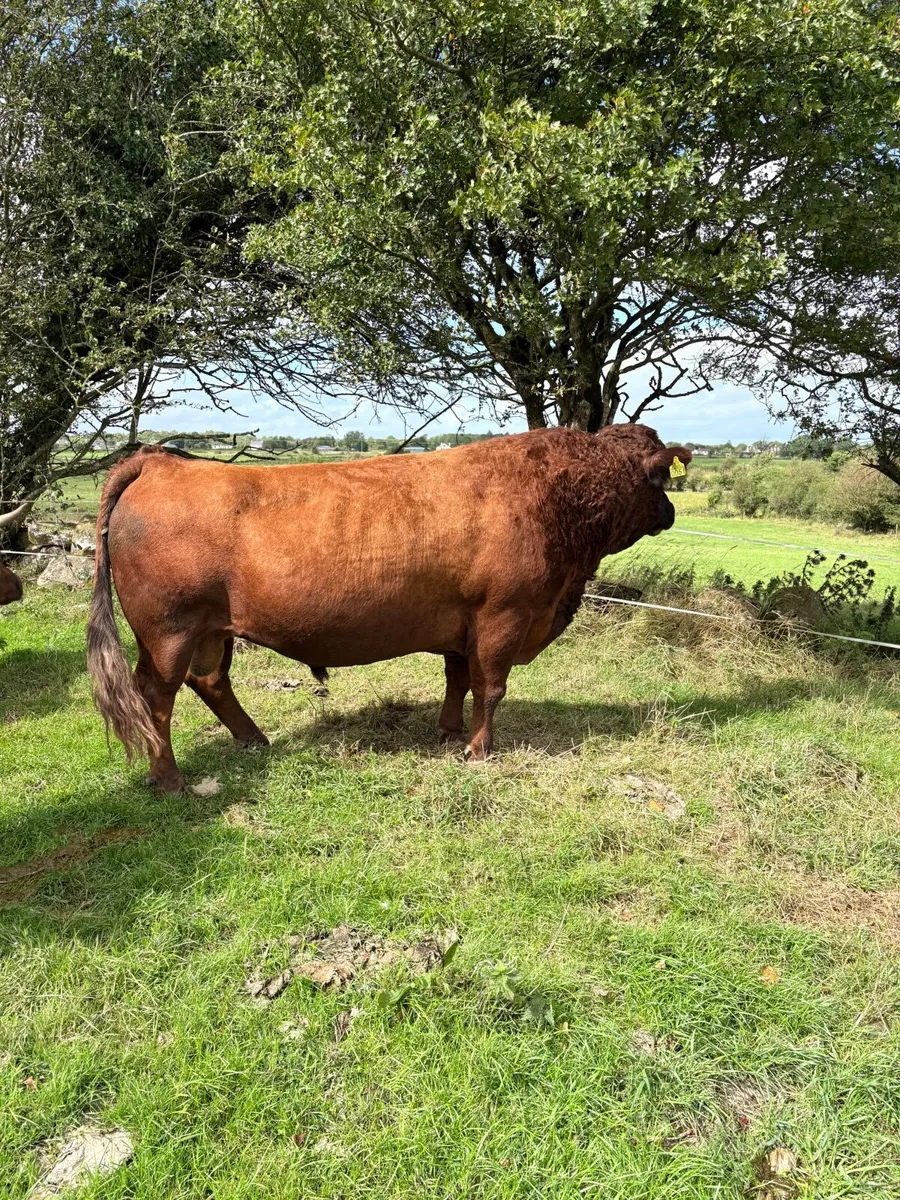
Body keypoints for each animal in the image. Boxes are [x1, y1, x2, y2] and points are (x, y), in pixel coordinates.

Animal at [87, 424, 691, 792]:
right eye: (658, 475)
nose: (669, 512)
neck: (552, 495)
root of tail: (159, 463)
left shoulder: (463, 623)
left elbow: (459, 677)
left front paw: (449, 731)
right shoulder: (505, 615)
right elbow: (491, 687)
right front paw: (480, 750)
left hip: (212, 629)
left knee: (209, 680)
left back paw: (254, 740)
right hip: (168, 629)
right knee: (156, 696)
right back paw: (170, 778)